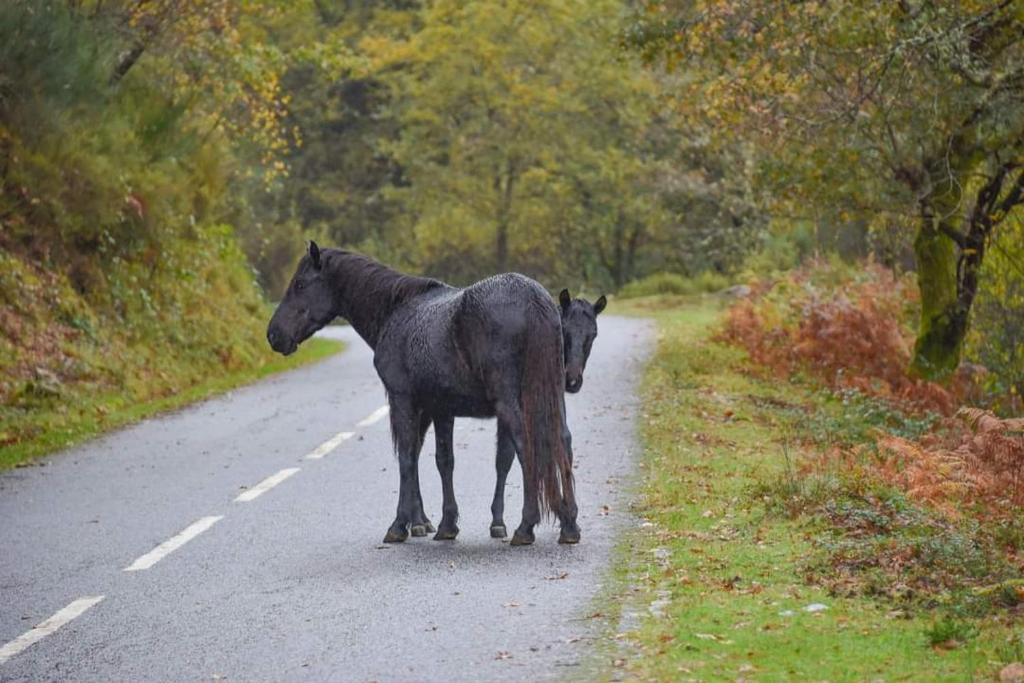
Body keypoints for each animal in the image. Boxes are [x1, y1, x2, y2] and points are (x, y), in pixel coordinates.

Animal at [268, 242, 581, 548]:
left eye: (299, 284)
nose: (273, 335)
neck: (396, 310)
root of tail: (534, 300)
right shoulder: (440, 409)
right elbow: (443, 460)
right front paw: (444, 524)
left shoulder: (402, 401)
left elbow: (407, 458)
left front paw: (399, 525)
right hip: (552, 398)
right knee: (563, 440)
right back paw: (569, 524)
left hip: (510, 403)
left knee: (526, 446)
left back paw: (526, 527)